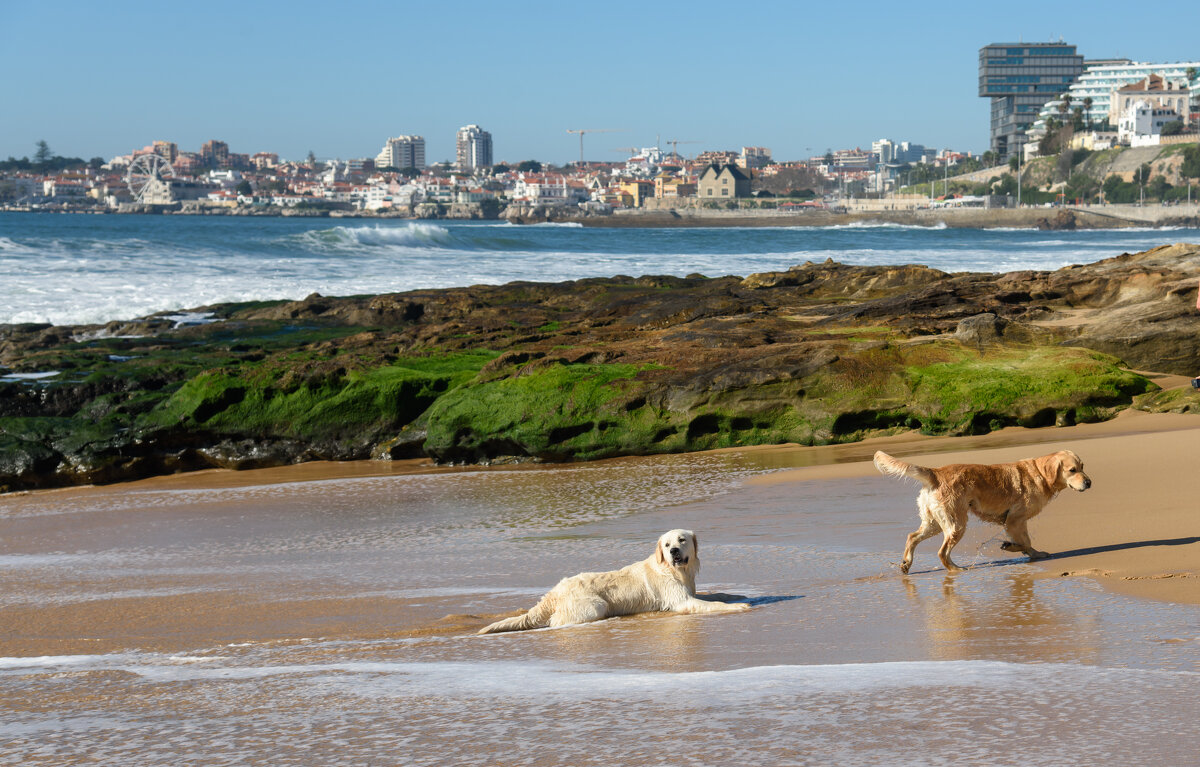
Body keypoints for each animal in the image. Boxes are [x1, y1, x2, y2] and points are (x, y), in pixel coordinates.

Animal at [477, 528, 748, 633]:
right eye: (666, 544)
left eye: (682, 540)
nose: (673, 552)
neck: (673, 571)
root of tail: (555, 590)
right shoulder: (682, 602)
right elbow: (712, 604)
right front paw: (739, 606)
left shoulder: (689, 591)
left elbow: (716, 595)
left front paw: (738, 596)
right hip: (596, 605)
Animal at [873, 451, 1089, 576]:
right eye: (1072, 470)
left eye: (1083, 467)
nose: (1089, 482)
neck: (1040, 474)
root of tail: (937, 472)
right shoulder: (1014, 519)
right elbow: (1026, 542)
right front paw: (1013, 547)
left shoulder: (1015, 522)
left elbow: (1026, 544)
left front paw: (1031, 553)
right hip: (957, 524)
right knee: (942, 552)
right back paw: (955, 569)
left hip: (934, 523)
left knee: (912, 537)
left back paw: (906, 564)